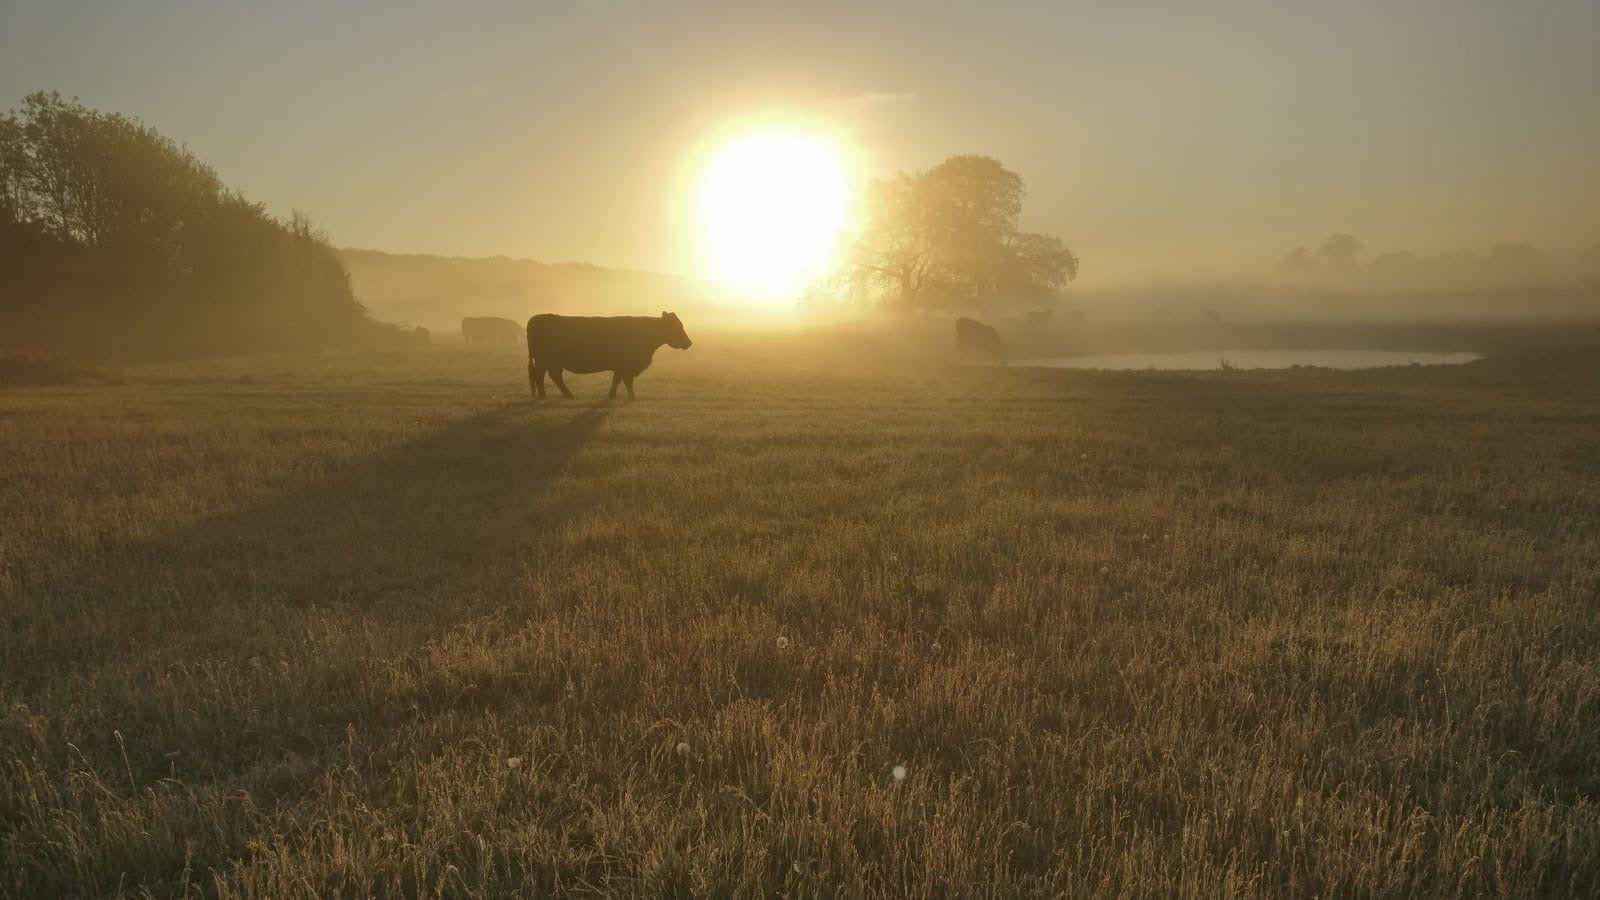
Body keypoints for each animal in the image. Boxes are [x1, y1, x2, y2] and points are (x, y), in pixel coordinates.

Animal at [527, 312, 693, 401]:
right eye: (676, 326)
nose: (689, 343)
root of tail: (536, 318)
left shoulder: (620, 367)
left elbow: (617, 380)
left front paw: (612, 395)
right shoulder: (626, 366)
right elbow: (627, 382)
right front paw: (632, 397)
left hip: (552, 362)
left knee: (553, 376)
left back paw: (568, 395)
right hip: (543, 361)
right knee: (539, 375)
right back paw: (544, 396)